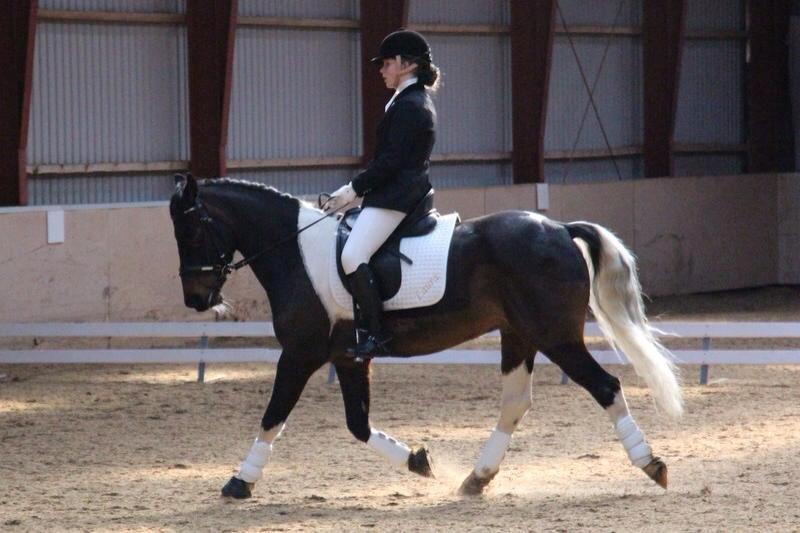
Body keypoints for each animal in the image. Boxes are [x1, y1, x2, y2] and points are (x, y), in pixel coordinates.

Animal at [169, 174, 680, 498]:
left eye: (190, 229)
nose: (195, 299)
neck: (295, 252)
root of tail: (559, 227)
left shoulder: (298, 354)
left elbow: (272, 416)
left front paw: (240, 481)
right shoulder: (349, 357)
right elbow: (357, 425)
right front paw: (418, 460)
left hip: (556, 337)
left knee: (606, 387)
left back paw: (651, 464)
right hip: (519, 335)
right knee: (516, 404)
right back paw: (476, 479)